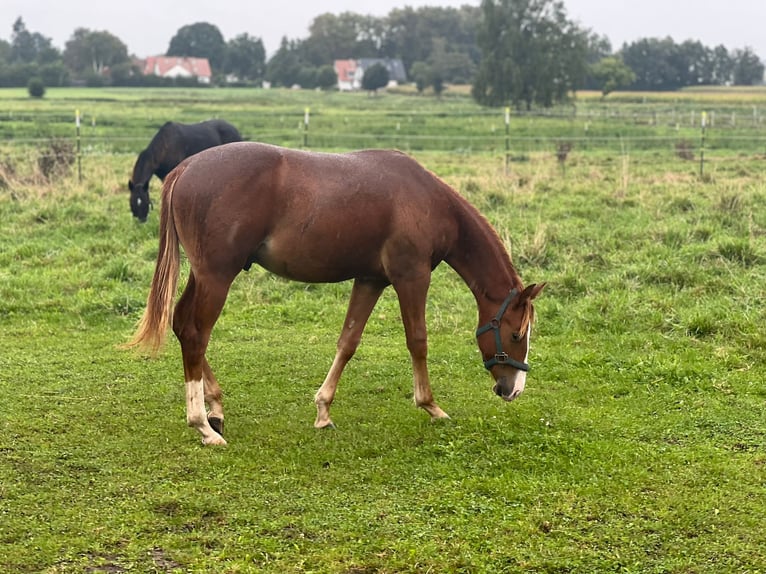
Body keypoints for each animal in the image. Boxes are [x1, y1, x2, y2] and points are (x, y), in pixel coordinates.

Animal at [126, 142, 544, 448]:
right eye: (516, 334)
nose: (513, 389)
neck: (426, 200)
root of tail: (185, 168)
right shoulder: (412, 277)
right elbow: (418, 341)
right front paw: (431, 406)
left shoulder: (370, 280)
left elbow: (348, 341)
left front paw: (323, 410)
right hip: (216, 277)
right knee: (197, 334)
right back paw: (202, 424)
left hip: (204, 276)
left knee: (182, 325)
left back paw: (215, 408)